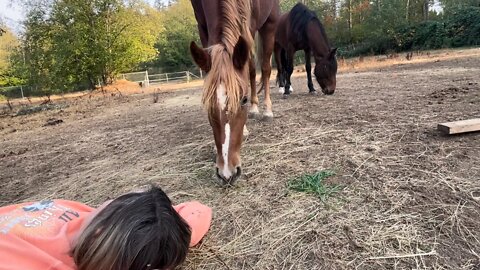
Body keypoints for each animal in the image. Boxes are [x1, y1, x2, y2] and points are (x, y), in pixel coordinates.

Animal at [189, 0, 280, 185]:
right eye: (207, 103)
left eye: (243, 99)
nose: (227, 173)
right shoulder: (201, 25)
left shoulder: (250, 24)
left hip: (269, 23)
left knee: (263, 68)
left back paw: (265, 110)